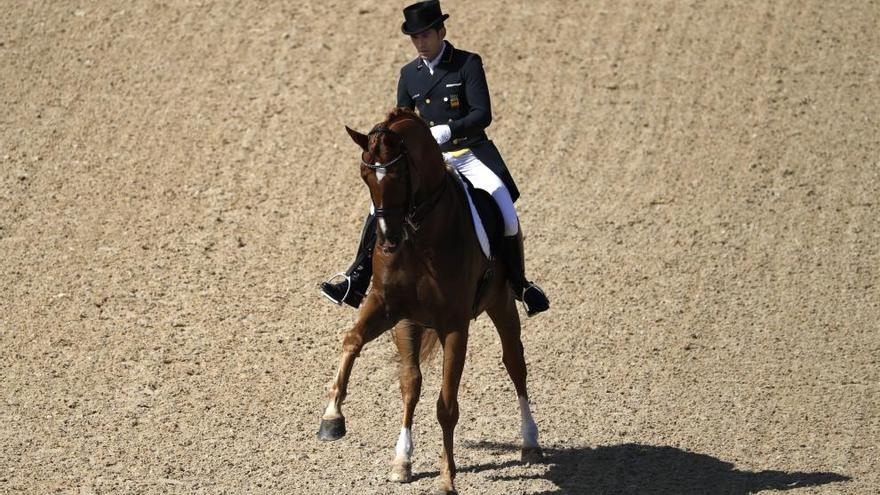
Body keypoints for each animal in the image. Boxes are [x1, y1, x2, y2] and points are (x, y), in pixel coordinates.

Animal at [312, 109, 540, 495]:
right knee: (410, 384)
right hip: (409, 323)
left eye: (399, 174)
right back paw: (401, 460)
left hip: (502, 302)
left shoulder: (455, 326)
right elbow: (352, 341)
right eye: (364, 176)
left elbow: (447, 405)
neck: (420, 238)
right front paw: (332, 418)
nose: (388, 240)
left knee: (515, 364)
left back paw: (530, 443)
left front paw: (447, 479)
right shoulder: (387, 307)